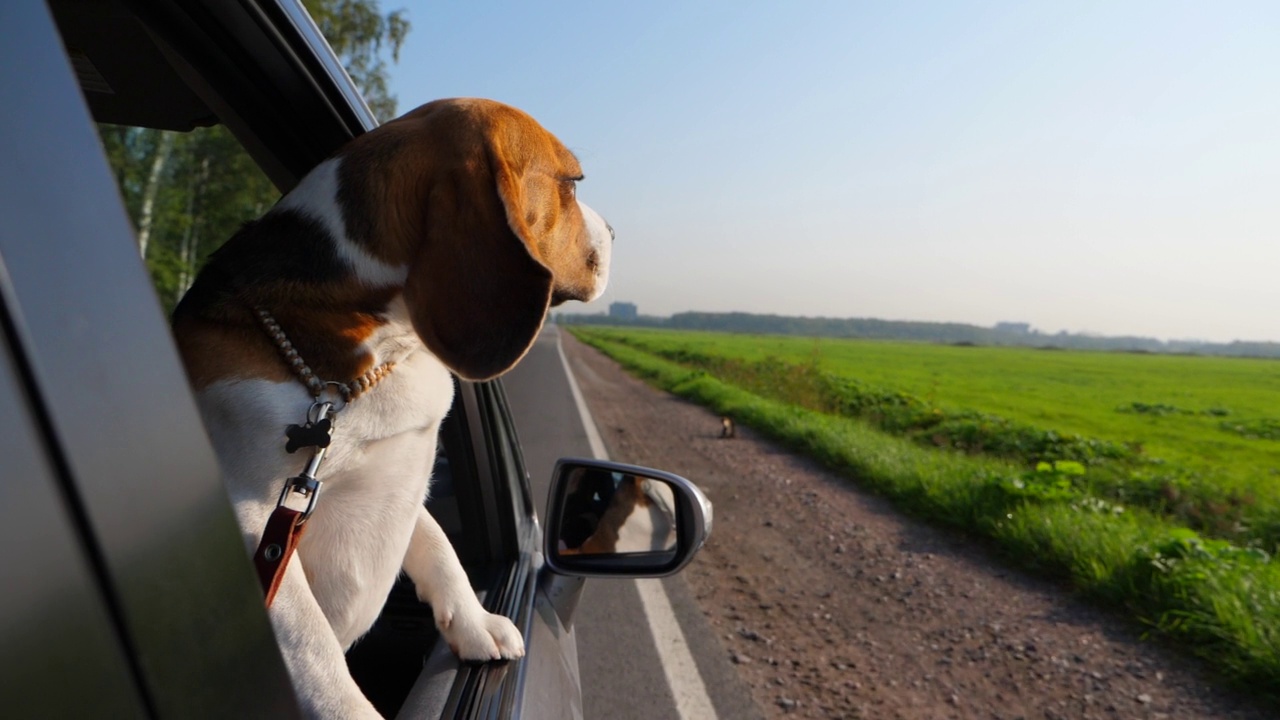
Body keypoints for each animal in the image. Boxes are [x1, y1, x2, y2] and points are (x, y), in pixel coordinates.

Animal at [172, 98, 611, 712]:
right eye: (571, 184)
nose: (614, 231)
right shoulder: (252, 517)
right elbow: (314, 645)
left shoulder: (406, 474)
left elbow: (439, 546)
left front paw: (475, 623)